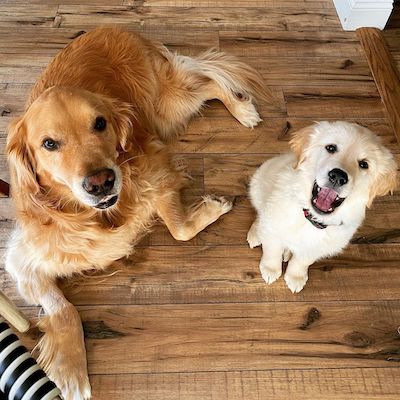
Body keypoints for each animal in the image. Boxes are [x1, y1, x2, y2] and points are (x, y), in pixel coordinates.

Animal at [4, 26, 268, 398]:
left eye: (100, 123)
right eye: (49, 144)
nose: (101, 182)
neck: (101, 217)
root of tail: (116, 27)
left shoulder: (158, 173)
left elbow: (179, 229)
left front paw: (211, 208)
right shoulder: (23, 261)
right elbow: (64, 308)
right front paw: (71, 371)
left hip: (166, 104)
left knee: (210, 82)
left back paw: (243, 110)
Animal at [247, 120, 396, 292]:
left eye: (364, 164)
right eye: (331, 148)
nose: (338, 176)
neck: (311, 219)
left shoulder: (316, 248)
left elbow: (301, 262)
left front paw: (296, 277)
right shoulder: (274, 229)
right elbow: (272, 251)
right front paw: (270, 269)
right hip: (259, 184)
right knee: (259, 214)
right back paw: (256, 234)